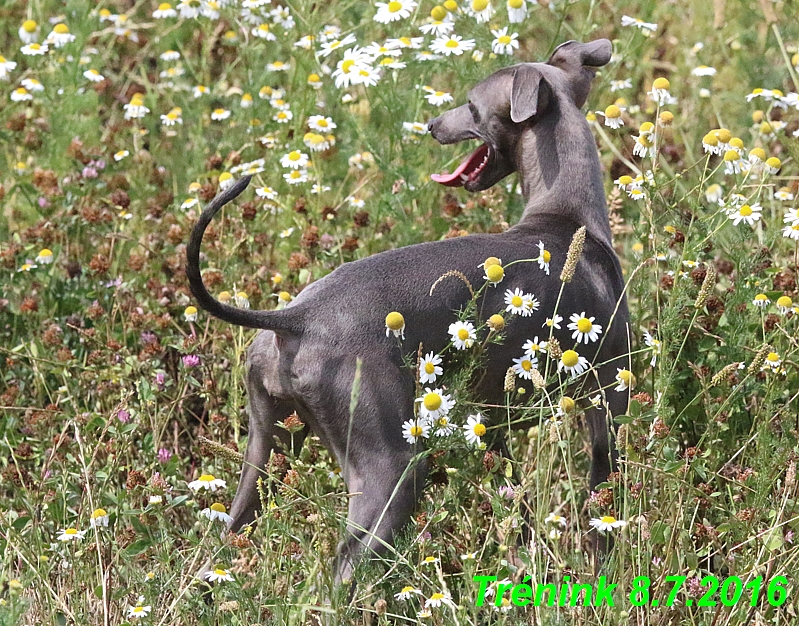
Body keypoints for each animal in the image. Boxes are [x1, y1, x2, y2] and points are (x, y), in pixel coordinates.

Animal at [188, 39, 632, 584]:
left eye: (471, 105)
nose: (432, 124)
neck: (568, 219)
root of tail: (296, 318)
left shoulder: (491, 424)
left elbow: (516, 503)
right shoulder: (607, 402)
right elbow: (601, 497)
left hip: (266, 445)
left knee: (227, 534)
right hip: (391, 467)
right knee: (345, 570)